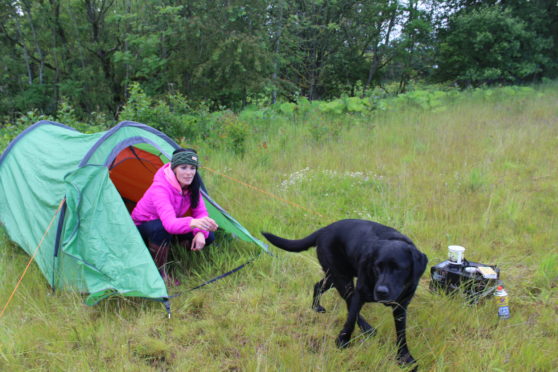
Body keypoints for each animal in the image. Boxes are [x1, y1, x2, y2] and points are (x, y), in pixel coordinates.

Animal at [262, 218, 428, 366]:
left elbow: (401, 333)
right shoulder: (360, 292)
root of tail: (324, 229)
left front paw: (404, 357)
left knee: (318, 286)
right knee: (349, 303)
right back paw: (366, 328)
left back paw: (316, 307)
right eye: (377, 266)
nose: (381, 291)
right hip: (342, 279)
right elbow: (350, 319)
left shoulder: (401, 307)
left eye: (399, 269)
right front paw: (342, 341)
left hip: (334, 277)